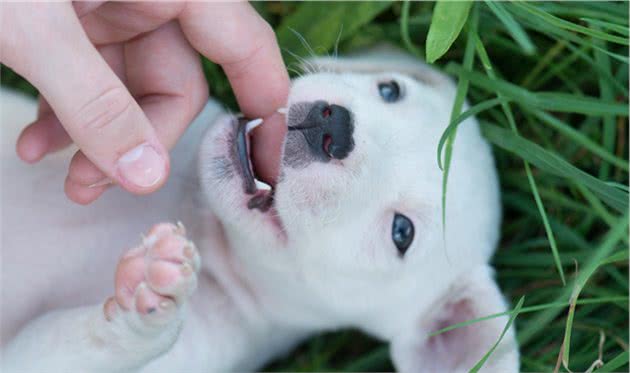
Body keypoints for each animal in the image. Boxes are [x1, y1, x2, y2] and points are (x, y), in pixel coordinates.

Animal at [1, 48, 520, 370]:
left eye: (402, 233)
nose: (334, 127)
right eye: (390, 89)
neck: (205, 225)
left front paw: (146, 300)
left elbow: (68, 343)